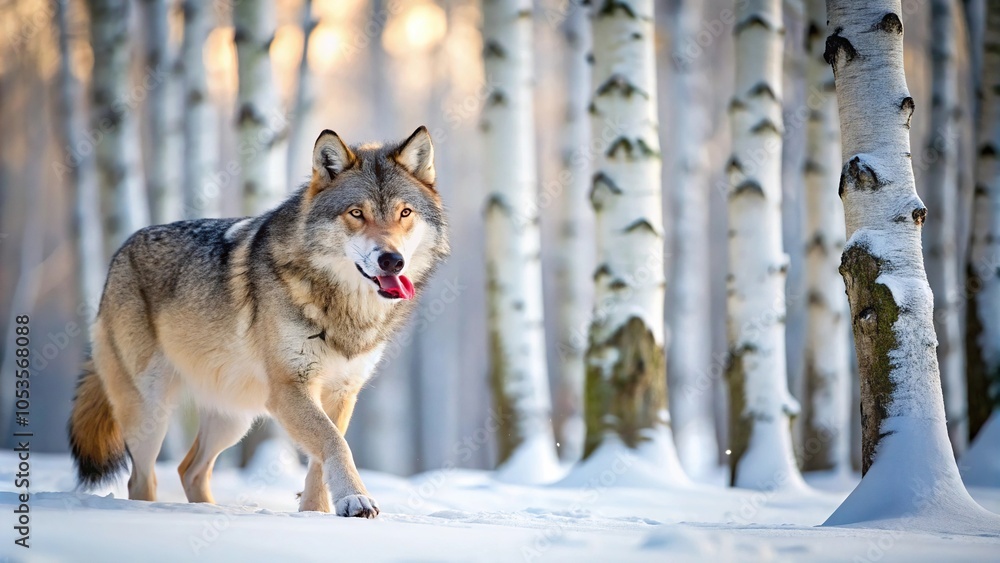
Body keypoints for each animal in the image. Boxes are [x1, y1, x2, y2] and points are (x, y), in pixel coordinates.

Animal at [68, 127, 448, 517]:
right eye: (356, 213)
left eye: (405, 213)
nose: (392, 260)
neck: (344, 308)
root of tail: (121, 252)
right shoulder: (290, 388)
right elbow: (334, 442)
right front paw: (354, 499)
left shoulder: (342, 392)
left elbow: (321, 457)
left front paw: (316, 513)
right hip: (150, 412)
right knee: (142, 479)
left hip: (233, 419)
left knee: (189, 469)